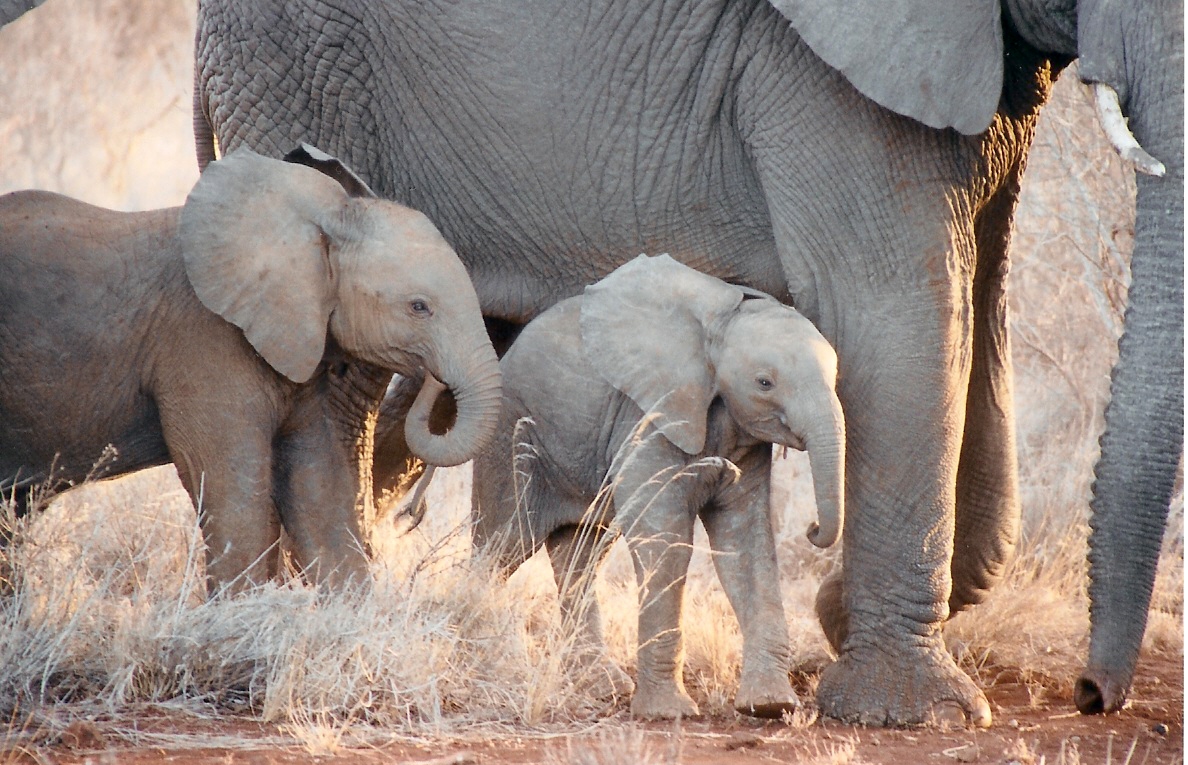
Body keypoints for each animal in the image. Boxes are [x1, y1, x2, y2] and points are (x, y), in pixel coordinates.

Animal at [1, 146, 501, 593]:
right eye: (419, 307)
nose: (412, 517)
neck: (317, 223)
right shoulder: (203, 339)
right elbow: (237, 496)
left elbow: (320, 488)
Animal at [472, 254, 845, 722]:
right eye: (765, 383)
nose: (813, 529)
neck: (718, 326)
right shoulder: (647, 415)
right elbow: (663, 537)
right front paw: (668, 713)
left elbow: (745, 541)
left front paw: (769, 705)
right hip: (509, 437)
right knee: (501, 545)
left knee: (580, 551)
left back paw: (601, 686)